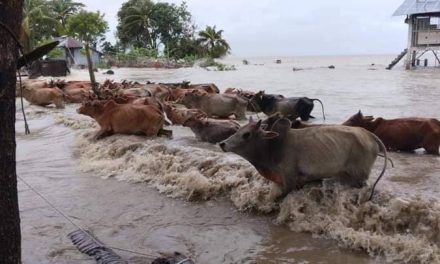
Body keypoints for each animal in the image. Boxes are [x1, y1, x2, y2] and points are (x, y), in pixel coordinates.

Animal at [219, 116, 384, 199]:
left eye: (247, 134)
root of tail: (370, 135)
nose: (222, 143)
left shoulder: (289, 181)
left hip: (360, 177)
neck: (271, 148)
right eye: (238, 130)